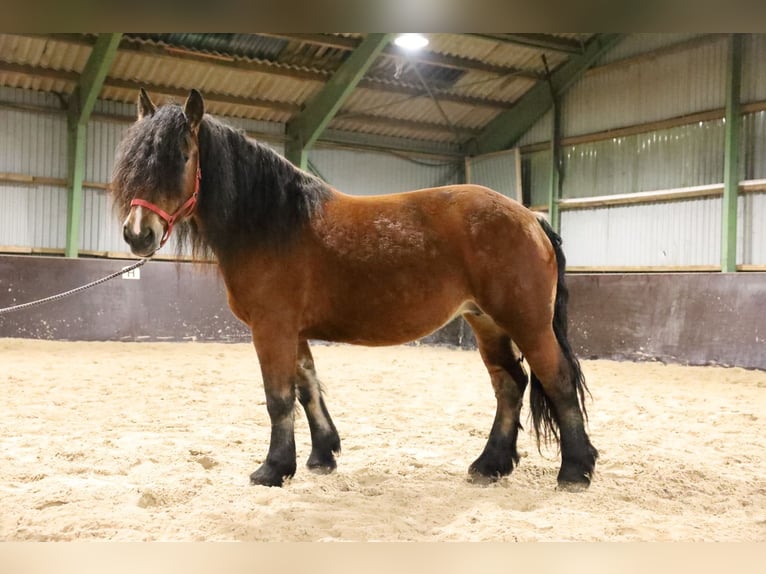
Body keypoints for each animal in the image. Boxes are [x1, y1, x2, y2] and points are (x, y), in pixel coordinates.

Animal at [112, 89, 600, 490]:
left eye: (181, 157)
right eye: (133, 161)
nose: (138, 234)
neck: (272, 221)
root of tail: (530, 217)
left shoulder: (272, 328)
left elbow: (278, 398)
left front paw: (273, 468)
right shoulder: (294, 331)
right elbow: (307, 387)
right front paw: (321, 455)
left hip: (527, 322)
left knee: (556, 379)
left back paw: (574, 471)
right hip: (486, 323)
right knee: (509, 384)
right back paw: (490, 465)